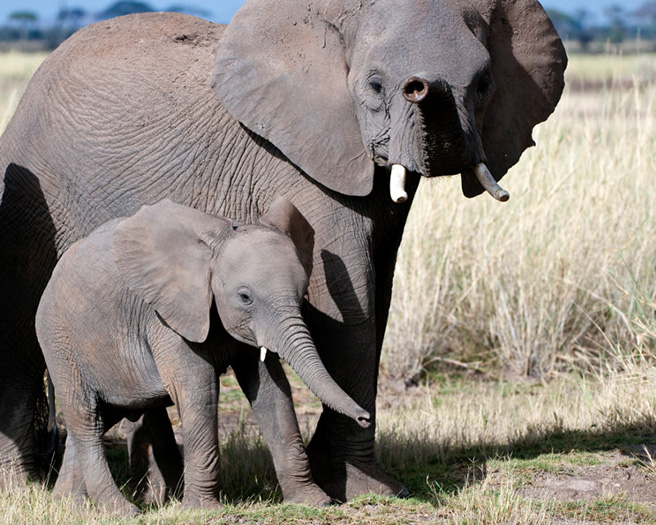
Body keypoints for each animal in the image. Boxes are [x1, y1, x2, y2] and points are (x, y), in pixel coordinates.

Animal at [37, 195, 368, 512]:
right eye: (245, 297)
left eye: (301, 294)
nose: (365, 418)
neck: (217, 242)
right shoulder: (167, 315)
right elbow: (199, 389)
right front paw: (203, 510)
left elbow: (272, 391)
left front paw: (314, 502)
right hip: (60, 341)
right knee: (86, 419)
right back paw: (121, 511)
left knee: (100, 417)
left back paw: (71, 507)